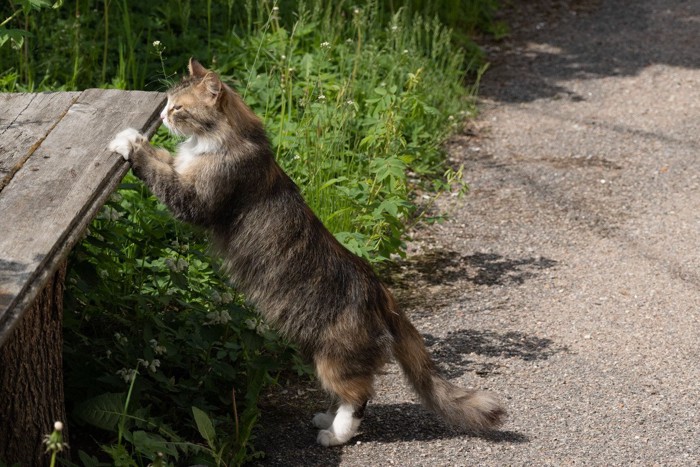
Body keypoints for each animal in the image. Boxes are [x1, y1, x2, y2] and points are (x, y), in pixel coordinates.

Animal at [108, 60, 504, 448]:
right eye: (167, 103)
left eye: (179, 108)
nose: (162, 115)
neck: (230, 139)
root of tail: (380, 290)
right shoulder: (181, 170)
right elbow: (163, 160)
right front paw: (140, 140)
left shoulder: (194, 199)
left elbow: (156, 168)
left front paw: (129, 141)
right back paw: (326, 418)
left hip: (333, 360)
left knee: (359, 396)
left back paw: (335, 434)